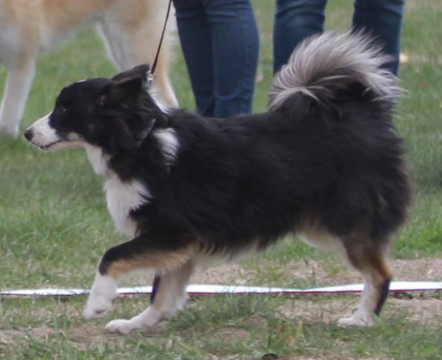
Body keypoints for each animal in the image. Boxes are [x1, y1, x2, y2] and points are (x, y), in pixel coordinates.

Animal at [24, 32, 412, 334]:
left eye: (63, 111)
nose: (28, 133)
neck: (141, 144)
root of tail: (363, 114)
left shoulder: (171, 232)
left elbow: (111, 256)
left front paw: (98, 303)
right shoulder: (180, 245)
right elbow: (162, 294)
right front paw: (137, 324)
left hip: (344, 223)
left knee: (382, 272)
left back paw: (362, 319)